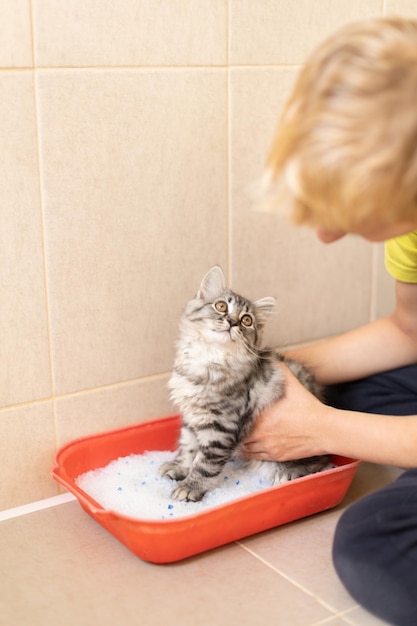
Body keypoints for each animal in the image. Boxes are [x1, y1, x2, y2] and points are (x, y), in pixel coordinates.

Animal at [160, 266, 328, 500]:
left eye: (246, 320)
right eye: (221, 306)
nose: (232, 322)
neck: (210, 357)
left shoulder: (221, 426)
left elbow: (204, 464)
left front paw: (190, 487)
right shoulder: (193, 415)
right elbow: (187, 447)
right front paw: (178, 468)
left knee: (318, 466)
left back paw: (288, 475)